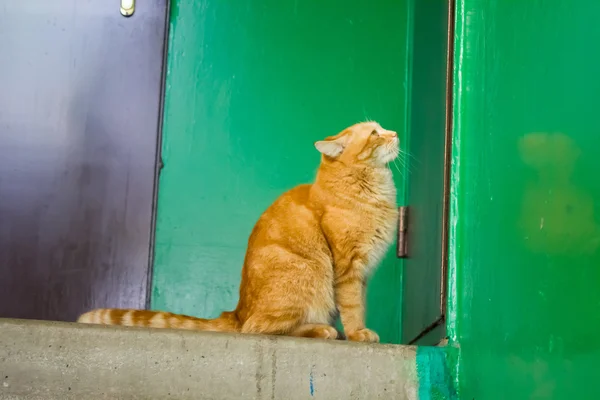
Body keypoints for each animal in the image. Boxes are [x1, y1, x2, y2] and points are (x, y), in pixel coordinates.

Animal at [79, 120, 398, 342]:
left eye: (382, 128)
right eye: (374, 133)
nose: (394, 133)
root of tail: (236, 312)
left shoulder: (363, 274)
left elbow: (360, 304)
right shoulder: (348, 268)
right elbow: (353, 307)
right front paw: (358, 333)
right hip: (308, 271)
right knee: (258, 328)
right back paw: (322, 330)